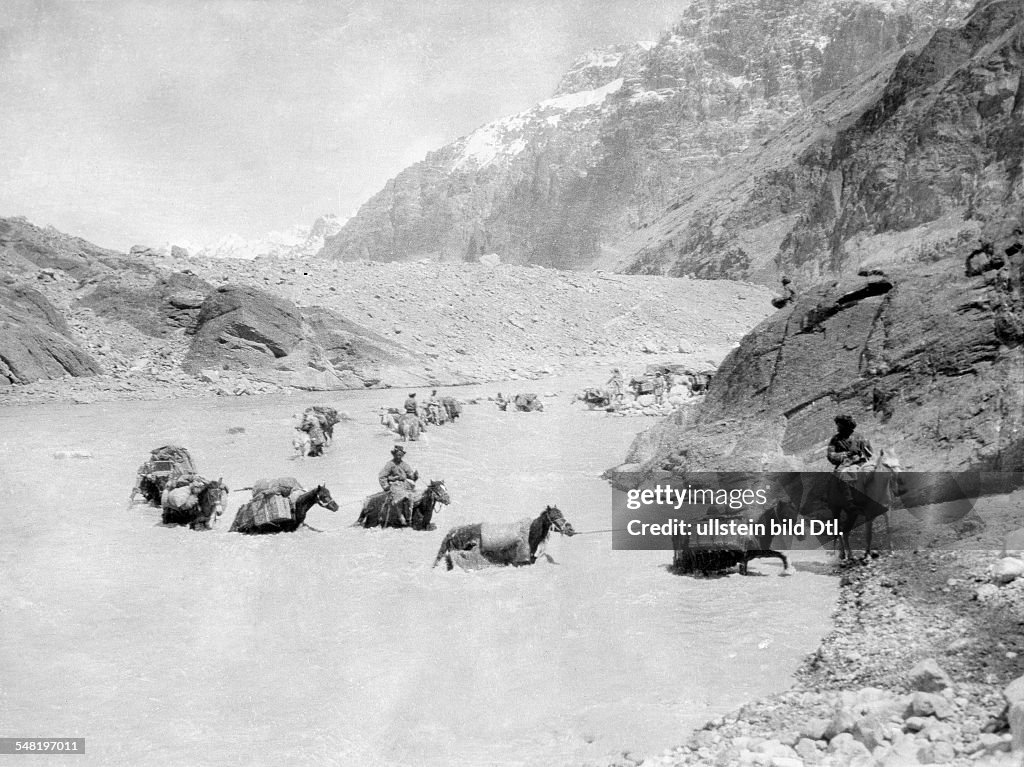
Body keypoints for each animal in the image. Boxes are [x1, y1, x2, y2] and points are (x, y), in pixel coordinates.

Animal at [432, 501, 577, 569]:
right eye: (554, 516)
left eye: (561, 513)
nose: (570, 529)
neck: (530, 534)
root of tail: (453, 532)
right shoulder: (519, 562)